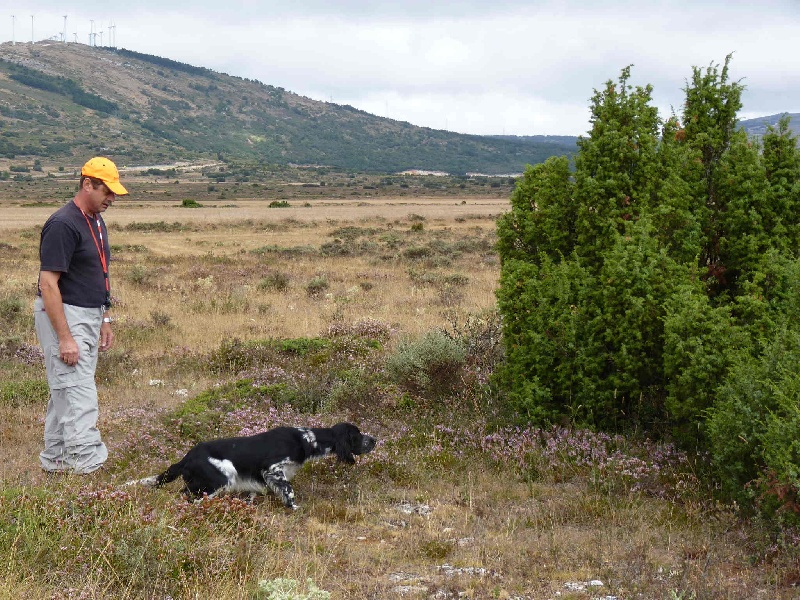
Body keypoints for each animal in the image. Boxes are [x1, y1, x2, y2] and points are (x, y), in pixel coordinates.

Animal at [128, 420, 378, 508]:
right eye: (357, 435)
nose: (374, 440)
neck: (306, 440)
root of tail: (187, 457)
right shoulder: (272, 469)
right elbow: (288, 490)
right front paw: (293, 507)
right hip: (221, 478)